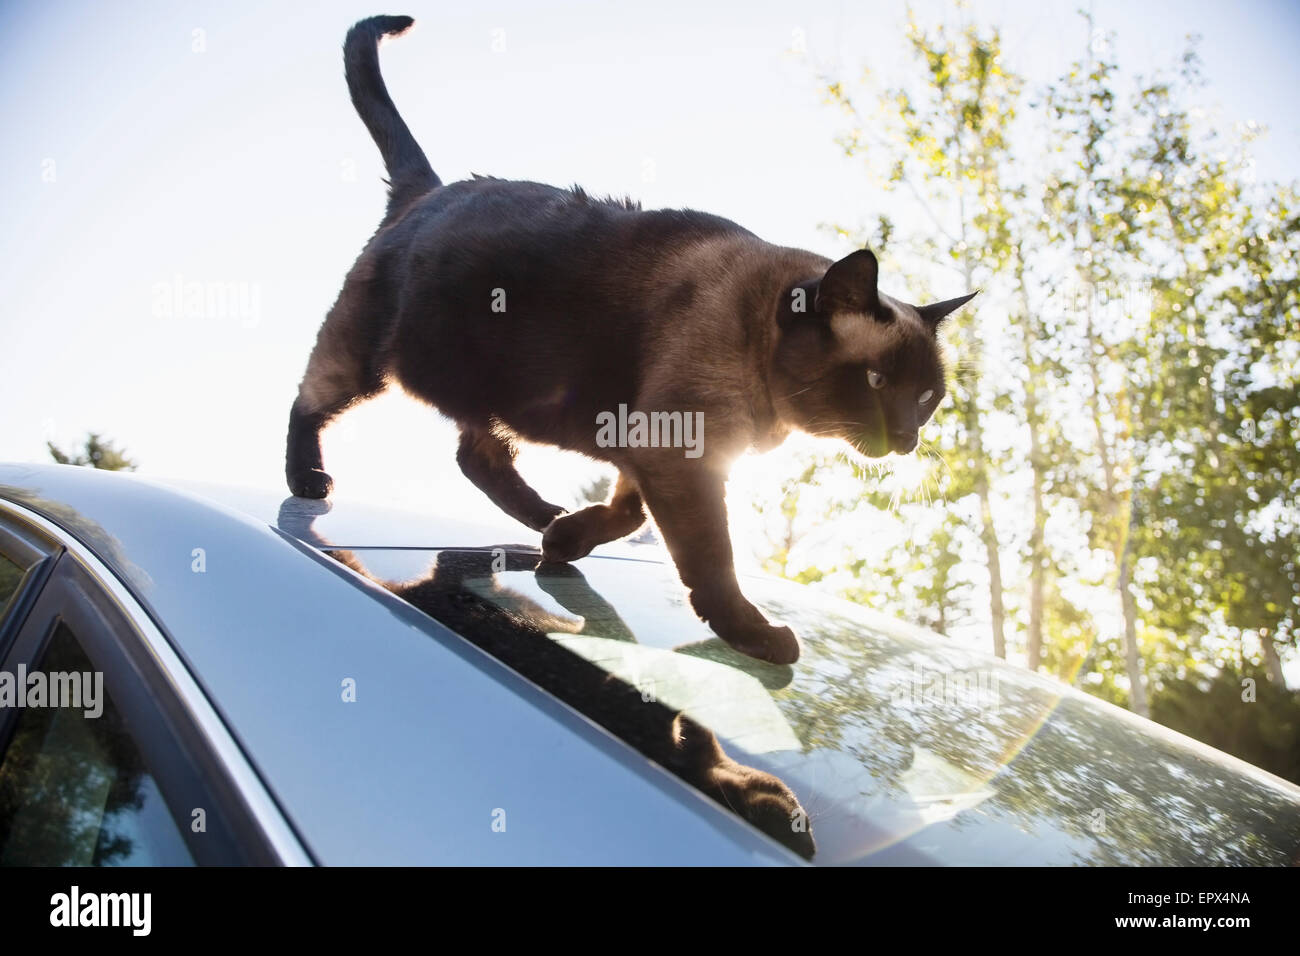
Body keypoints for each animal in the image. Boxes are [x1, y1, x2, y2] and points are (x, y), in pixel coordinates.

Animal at [287, 18, 977, 671]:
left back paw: (542, 517)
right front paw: (755, 636)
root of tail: (429, 189)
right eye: (878, 382)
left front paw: (565, 541)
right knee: (309, 403)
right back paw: (310, 480)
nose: (907, 438)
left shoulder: (645, 453)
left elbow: (629, 516)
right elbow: (710, 560)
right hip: (366, 363)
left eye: (927, 398)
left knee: (477, 457)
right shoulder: (679, 457)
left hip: (494, 394)